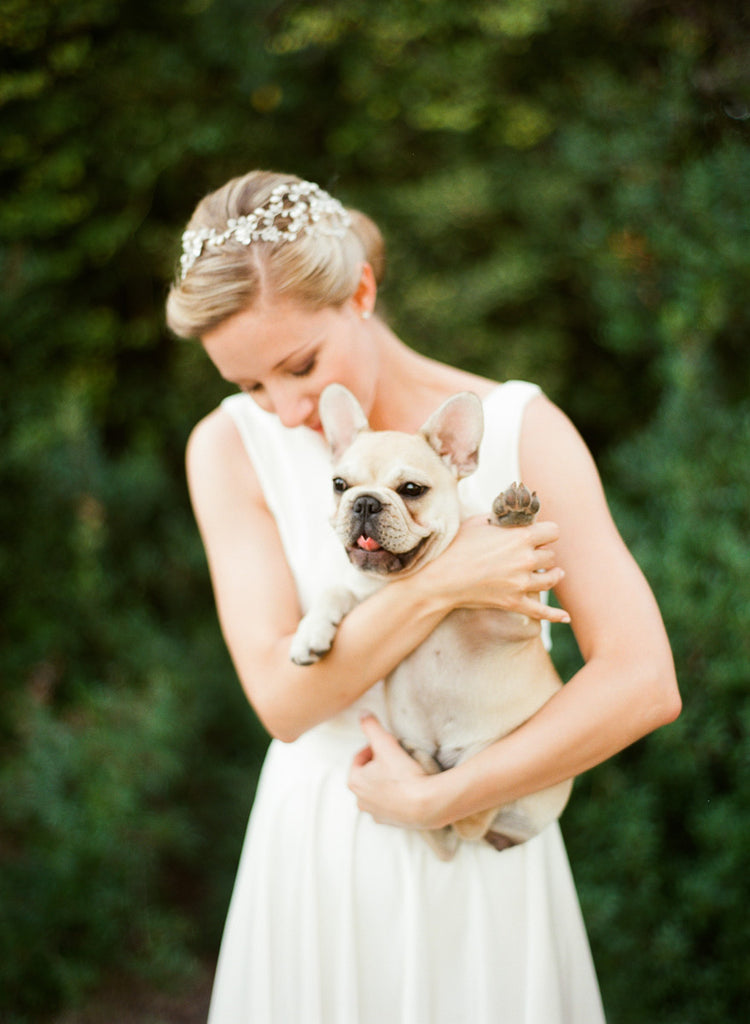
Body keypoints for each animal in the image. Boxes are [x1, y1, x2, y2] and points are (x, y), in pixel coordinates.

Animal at [290, 382, 569, 856]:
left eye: (411, 489)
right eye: (339, 484)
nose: (364, 503)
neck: (407, 578)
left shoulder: (520, 613)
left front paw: (513, 517)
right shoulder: (365, 596)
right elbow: (335, 590)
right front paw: (310, 633)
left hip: (496, 762)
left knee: (466, 816)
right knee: (448, 830)